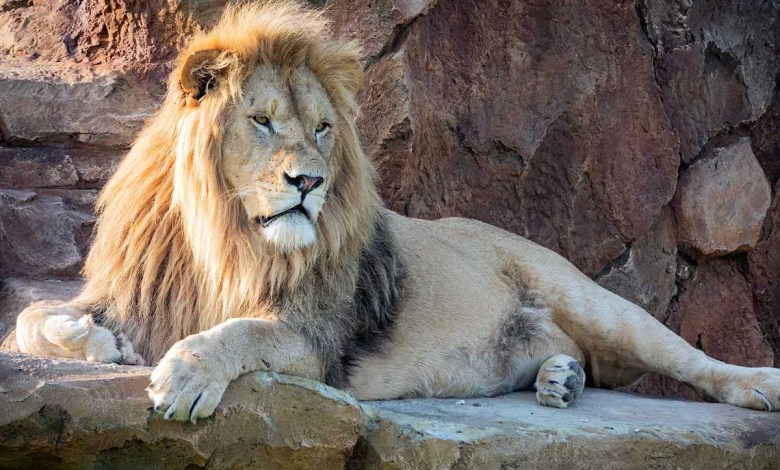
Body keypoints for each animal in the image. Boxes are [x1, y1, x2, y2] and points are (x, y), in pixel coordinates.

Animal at [12, 1, 780, 421]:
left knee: (686, 358)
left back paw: (758, 385)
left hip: (592, 299)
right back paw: (559, 379)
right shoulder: (135, 294)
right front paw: (98, 343)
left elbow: (237, 332)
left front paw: (186, 376)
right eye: (262, 121)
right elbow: (28, 319)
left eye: (323, 128)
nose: (308, 181)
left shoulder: (313, 336)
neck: (222, 237)